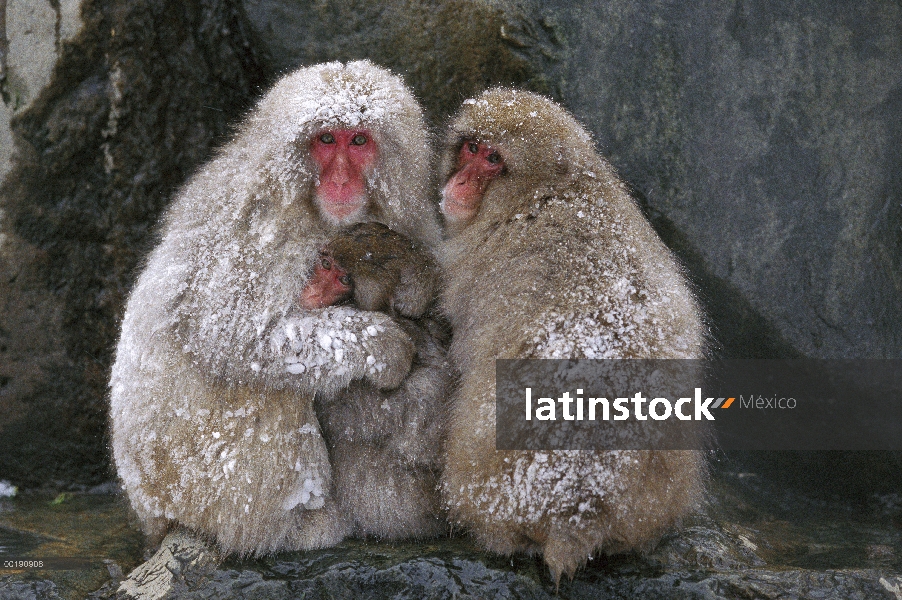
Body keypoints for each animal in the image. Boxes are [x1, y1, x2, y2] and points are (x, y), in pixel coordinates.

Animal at [438, 91, 708, 584]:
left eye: (493, 159)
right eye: (471, 147)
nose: (461, 181)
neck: (549, 192)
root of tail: (580, 510)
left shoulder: (478, 268)